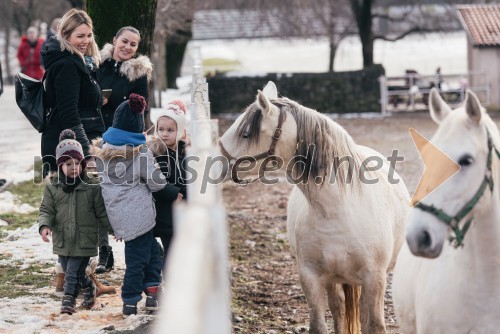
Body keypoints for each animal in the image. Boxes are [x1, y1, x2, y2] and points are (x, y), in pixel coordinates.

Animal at [220, 81, 410, 334]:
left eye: (245, 134)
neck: (337, 210)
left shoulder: (375, 279)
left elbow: (375, 325)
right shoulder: (311, 277)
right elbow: (320, 325)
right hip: (333, 280)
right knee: (339, 310)